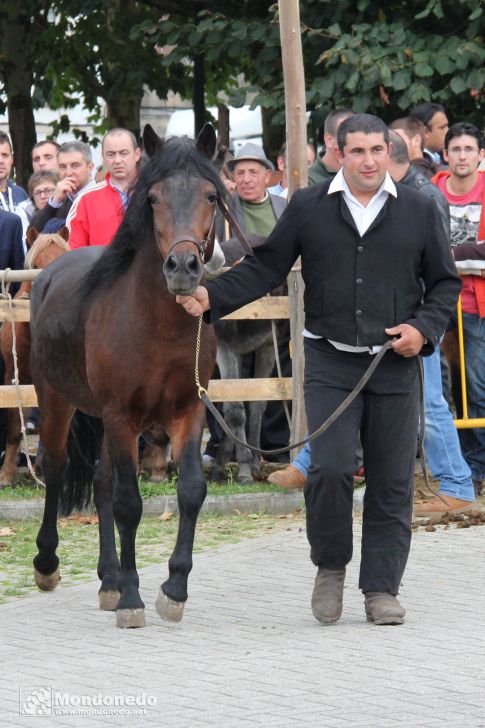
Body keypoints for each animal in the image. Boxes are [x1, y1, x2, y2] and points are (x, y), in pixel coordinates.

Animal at [28, 123, 221, 624]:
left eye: (211, 195)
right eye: (152, 198)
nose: (182, 267)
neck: (157, 325)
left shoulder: (188, 412)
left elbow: (190, 490)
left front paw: (173, 587)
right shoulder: (120, 417)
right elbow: (129, 505)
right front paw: (134, 599)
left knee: (100, 482)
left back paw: (109, 580)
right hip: (56, 400)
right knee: (56, 467)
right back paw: (48, 562)